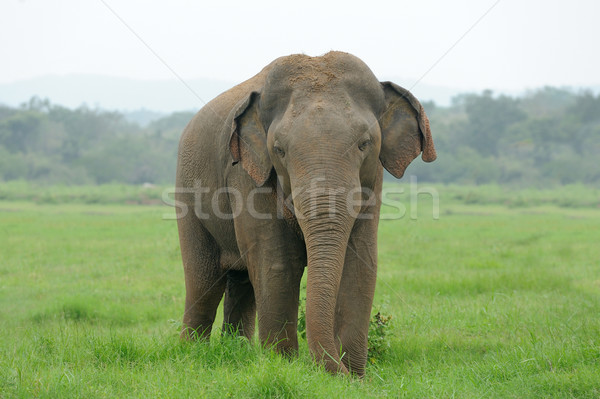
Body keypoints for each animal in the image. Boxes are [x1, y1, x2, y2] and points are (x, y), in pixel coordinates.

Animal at [173, 50, 436, 378]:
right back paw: (191, 354)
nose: (339, 370)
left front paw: (355, 377)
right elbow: (278, 263)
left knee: (241, 284)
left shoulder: (373, 179)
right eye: (279, 149)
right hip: (187, 192)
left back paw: (237, 352)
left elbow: (361, 263)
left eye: (365, 144)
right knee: (204, 280)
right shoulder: (248, 176)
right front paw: (284, 366)